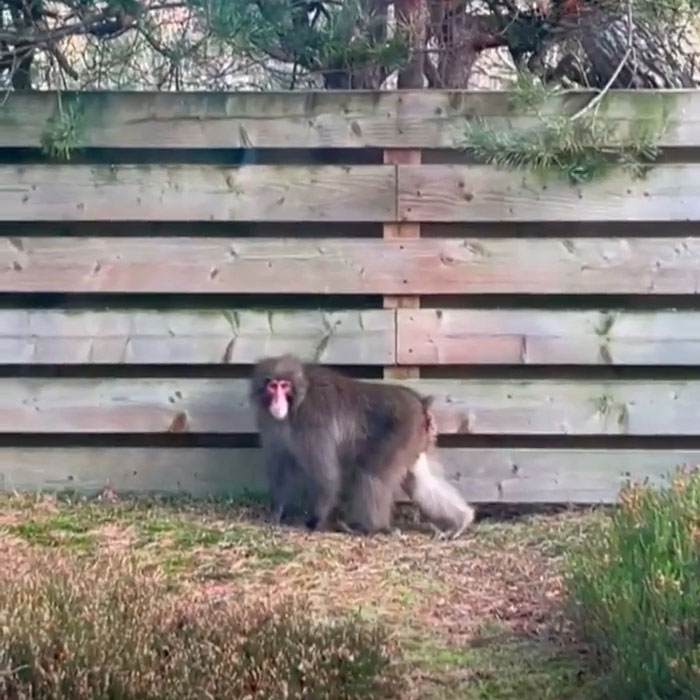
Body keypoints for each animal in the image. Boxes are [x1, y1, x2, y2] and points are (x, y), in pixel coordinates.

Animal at [249, 354, 475, 539]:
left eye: (284, 386)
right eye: (272, 386)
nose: (277, 402)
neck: (297, 402)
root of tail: (420, 403)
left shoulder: (313, 424)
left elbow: (327, 477)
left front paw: (315, 521)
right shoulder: (271, 425)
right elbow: (280, 466)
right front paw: (275, 513)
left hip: (401, 433)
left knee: (371, 474)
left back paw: (371, 528)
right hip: (416, 440)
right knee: (421, 482)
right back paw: (462, 520)